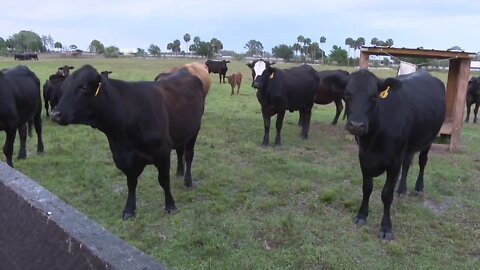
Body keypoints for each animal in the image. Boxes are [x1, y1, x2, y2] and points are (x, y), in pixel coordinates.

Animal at [50, 65, 204, 219]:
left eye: (83, 86)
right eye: (63, 87)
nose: (55, 114)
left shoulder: (162, 152)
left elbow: (164, 180)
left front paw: (170, 205)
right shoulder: (123, 157)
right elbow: (131, 183)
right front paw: (129, 209)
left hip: (195, 129)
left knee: (188, 155)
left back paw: (188, 181)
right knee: (179, 151)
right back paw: (179, 173)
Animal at [326, 69, 446, 240]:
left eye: (373, 97)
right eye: (347, 95)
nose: (356, 125)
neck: (374, 138)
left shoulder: (394, 162)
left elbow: (386, 194)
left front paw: (386, 227)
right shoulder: (363, 157)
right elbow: (367, 188)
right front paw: (361, 215)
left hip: (429, 139)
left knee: (422, 162)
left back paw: (418, 187)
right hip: (408, 147)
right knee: (407, 163)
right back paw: (402, 190)